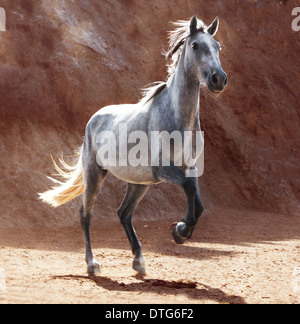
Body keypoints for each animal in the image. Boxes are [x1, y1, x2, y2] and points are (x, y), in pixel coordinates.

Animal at [39, 15, 227, 276]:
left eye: (217, 46)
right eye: (195, 45)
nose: (219, 79)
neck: (177, 117)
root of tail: (94, 117)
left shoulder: (189, 168)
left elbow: (197, 202)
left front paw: (181, 232)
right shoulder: (163, 169)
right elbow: (189, 190)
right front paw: (180, 230)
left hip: (138, 183)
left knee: (124, 213)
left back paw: (139, 261)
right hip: (95, 175)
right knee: (86, 214)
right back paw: (92, 264)